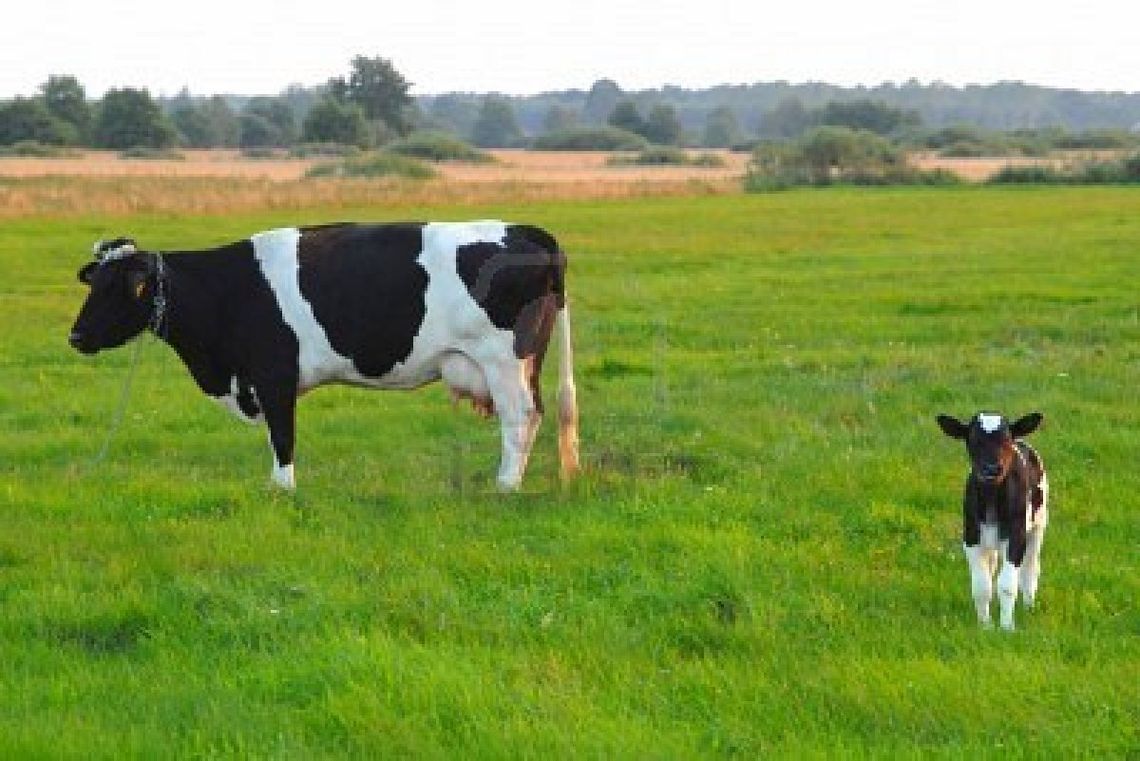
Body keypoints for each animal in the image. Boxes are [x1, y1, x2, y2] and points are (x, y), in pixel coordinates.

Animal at [66, 219, 579, 494]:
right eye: (94, 283)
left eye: (118, 289)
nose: (76, 335)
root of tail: (524, 230)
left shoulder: (273, 375)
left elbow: (282, 436)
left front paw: (282, 490)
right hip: (526, 362)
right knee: (536, 413)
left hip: (502, 360)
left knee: (519, 416)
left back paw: (505, 487)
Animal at [934, 410, 1048, 628]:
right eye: (973, 440)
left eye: (1006, 440)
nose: (992, 468)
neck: (991, 498)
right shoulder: (971, 537)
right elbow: (982, 585)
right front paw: (985, 625)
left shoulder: (1016, 535)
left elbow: (1007, 584)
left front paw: (1006, 626)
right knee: (992, 567)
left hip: (1039, 523)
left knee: (1030, 568)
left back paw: (1029, 607)